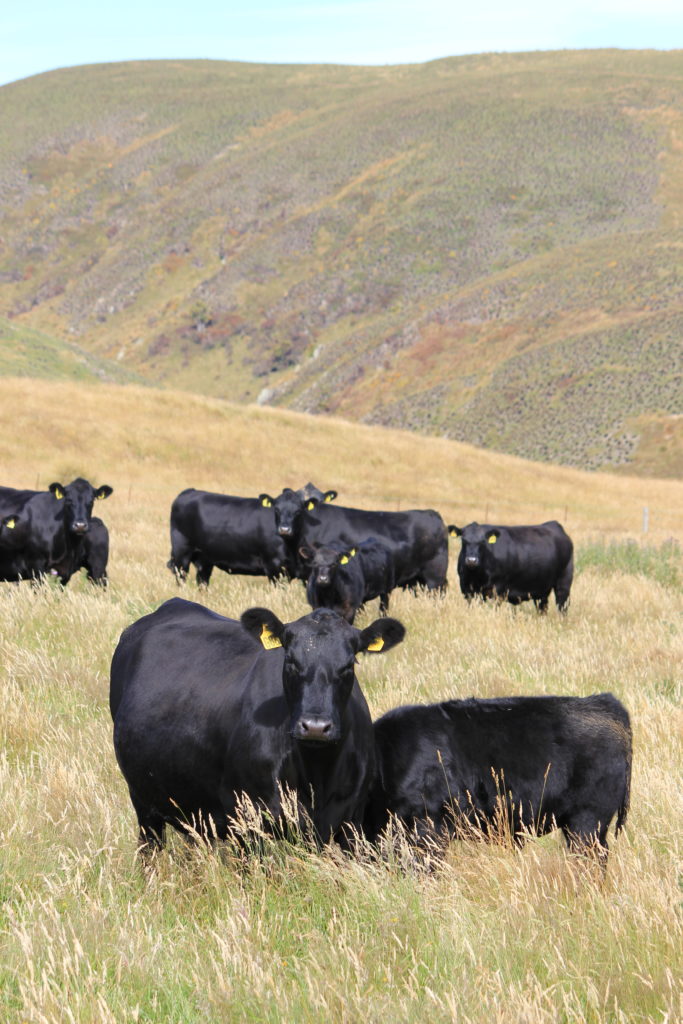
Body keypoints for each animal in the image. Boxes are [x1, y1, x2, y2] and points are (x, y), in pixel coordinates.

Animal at [110, 598, 405, 854]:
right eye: (291, 661)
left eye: (348, 665)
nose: (315, 726)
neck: (317, 774)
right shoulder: (249, 821)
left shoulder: (351, 823)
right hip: (143, 802)